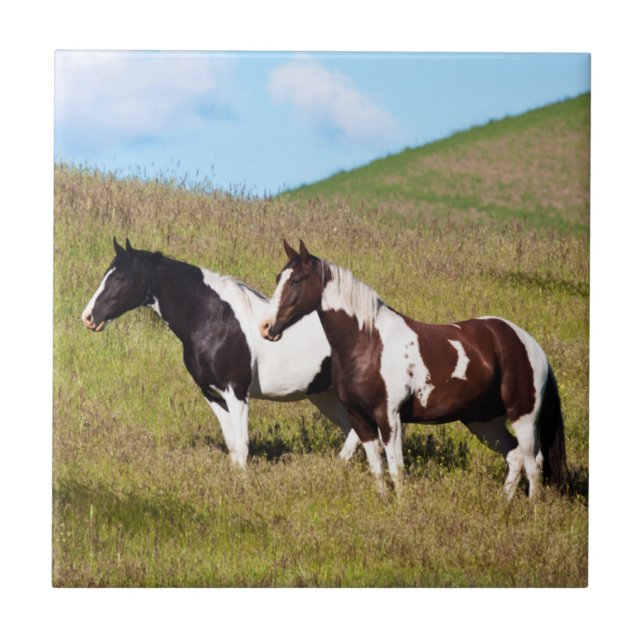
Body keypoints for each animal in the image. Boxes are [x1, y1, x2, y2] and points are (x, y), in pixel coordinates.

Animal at [81, 238, 361, 467]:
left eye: (119, 278)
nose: (89, 317)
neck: (214, 320)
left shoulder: (236, 392)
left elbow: (242, 447)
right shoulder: (212, 394)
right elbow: (233, 447)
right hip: (324, 395)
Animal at [260, 240, 568, 498]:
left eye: (296, 280)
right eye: (278, 279)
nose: (266, 327)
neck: (368, 343)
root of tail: (529, 344)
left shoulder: (390, 418)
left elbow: (397, 470)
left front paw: (402, 506)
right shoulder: (360, 418)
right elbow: (377, 469)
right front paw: (384, 502)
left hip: (523, 416)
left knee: (534, 462)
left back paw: (532, 509)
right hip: (483, 420)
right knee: (515, 456)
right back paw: (506, 503)